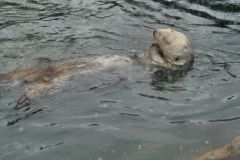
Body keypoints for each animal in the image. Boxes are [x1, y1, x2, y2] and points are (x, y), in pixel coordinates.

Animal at [0, 28, 193, 109]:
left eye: (167, 39)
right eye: (165, 29)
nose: (155, 31)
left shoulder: (161, 67)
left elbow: (158, 57)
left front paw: (156, 48)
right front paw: (152, 44)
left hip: (54, 84)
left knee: (34, 90)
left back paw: (22, 102)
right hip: (36, 63)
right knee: (14, 74)